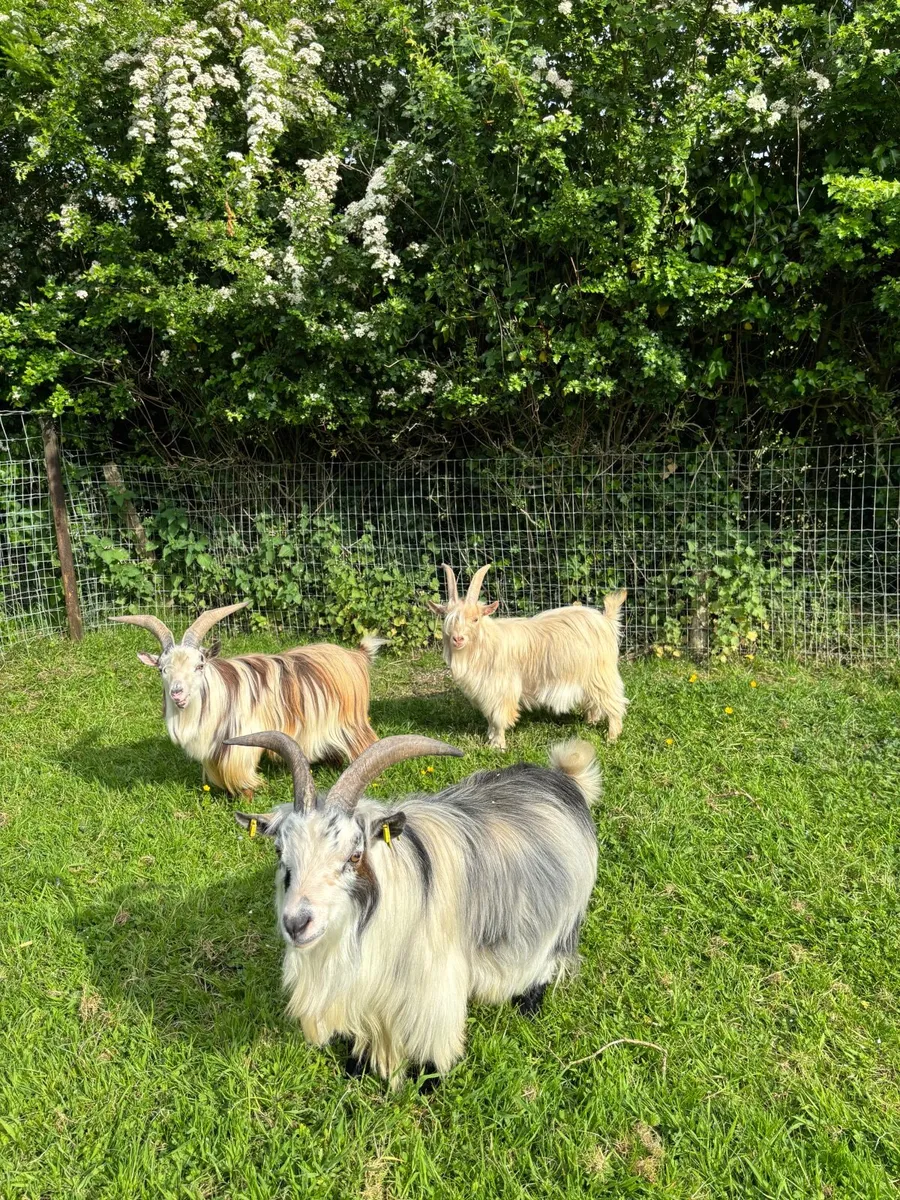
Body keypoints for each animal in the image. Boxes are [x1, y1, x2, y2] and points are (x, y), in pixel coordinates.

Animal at [112, 603, 385, 797]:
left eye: (200, 665)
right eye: (162, 669)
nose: (177, 693)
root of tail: (355, 656)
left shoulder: (241, 740)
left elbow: (239, 771)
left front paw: (247, 794)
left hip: (350, 721)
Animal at [230, 728, 600, 1086]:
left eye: (355, 855)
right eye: (280, 851)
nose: (296, 923)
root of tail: (562, 778)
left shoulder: (433, 983)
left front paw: (429, 1081)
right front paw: (356, 1067)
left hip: (558, 918)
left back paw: (528, 1006)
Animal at [426, 564, 628, 749]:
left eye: (475, 619)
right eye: (446, 618)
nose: (458, 638)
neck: (485, 644)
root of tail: (606, 620)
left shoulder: (502, 690)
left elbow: (498, 718)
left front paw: (498, 745)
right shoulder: (486, 692)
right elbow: (490, 717)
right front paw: (490, 738)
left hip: (601, 674)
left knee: (614, 703)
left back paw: (612, 737)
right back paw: (591, 721)